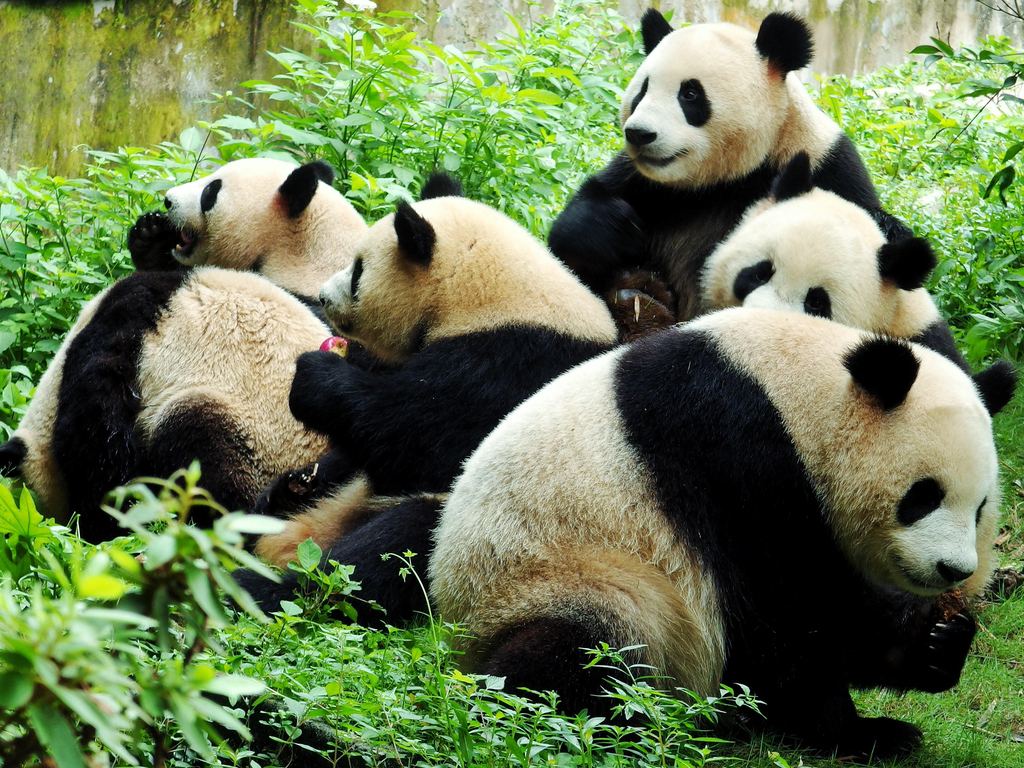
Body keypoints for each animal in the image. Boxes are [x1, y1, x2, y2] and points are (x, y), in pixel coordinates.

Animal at [238, 177, 618, 616]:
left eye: (358, 270)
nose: (322, 295)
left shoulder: (513, 364)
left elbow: (418, 437)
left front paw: (314, 377)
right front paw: (301, 475)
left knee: (382, 556)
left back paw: (263, 587)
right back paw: (283, 500)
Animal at [428, 308, 1017, 759]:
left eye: (981, 507)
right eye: (924, 496)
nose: (953, 570)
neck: (795, 393)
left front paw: (941, 642)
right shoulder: (733, 451)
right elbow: (790, 609)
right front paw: (866, 730)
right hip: (557, 577)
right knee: (575, 654)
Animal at [548, 10, 909, 338]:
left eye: (690, 93)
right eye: (642, 90)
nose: (639, 134)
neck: (728, 178)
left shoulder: (828, 167)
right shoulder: (648, 184)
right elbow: (573, 243)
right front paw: (613, 227)